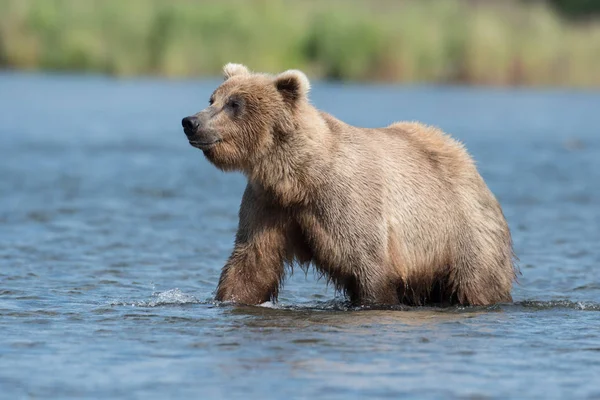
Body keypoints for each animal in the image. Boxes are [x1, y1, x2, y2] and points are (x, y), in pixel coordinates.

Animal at [180, 63, 516, 306]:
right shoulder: (268, 203)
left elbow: (367, 263)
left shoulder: (346, 202)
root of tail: (468, 161)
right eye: (212, 98)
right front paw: (227, 299)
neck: (297, 177)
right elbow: (251, 262)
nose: (190, 122)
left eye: (234, 104)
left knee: (477, 282)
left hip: (460, 232)